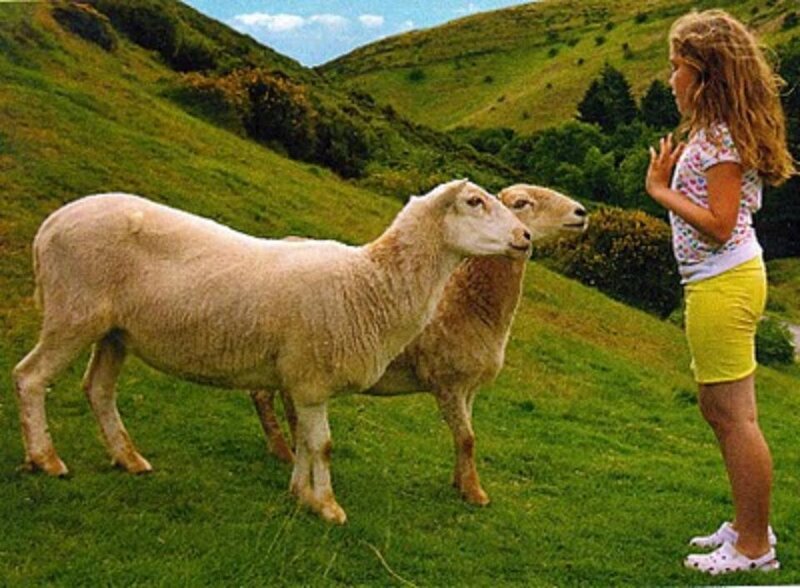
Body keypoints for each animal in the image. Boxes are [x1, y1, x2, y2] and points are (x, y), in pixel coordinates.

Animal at [12, 179, 533, 524]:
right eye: (474, 202)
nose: (525, 238)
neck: (368, 283)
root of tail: (51, 223)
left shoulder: (301, 380)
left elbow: (304, 439)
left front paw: (300, 493)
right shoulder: (312, 377)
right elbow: (321, 444)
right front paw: (327, 505)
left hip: (115, 331)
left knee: (98, 389)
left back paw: (128, 458)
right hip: (73, 312)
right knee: (30, 377)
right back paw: (46, 458)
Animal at [251, 184, 587, 505]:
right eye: (520, 203)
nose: (581, 212)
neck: (467, 302)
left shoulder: (469, 387)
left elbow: (466, 435)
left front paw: (460, 482)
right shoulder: (447, 381)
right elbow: (467, 438)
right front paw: (475, 493)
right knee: (264, 396)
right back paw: (282, 450)